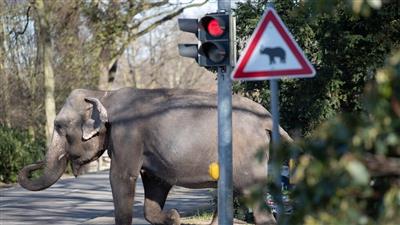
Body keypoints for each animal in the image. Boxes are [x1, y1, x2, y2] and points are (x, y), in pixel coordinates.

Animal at [18, 88, 292, 225]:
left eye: (59, 126)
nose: (33, 162)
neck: (104, 94)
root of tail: (269, 120)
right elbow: (155, 183)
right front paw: (173, 218)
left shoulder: (127, 135)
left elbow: (121, 178)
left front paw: (173, 217)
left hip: (248, 158)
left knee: (254, 199)